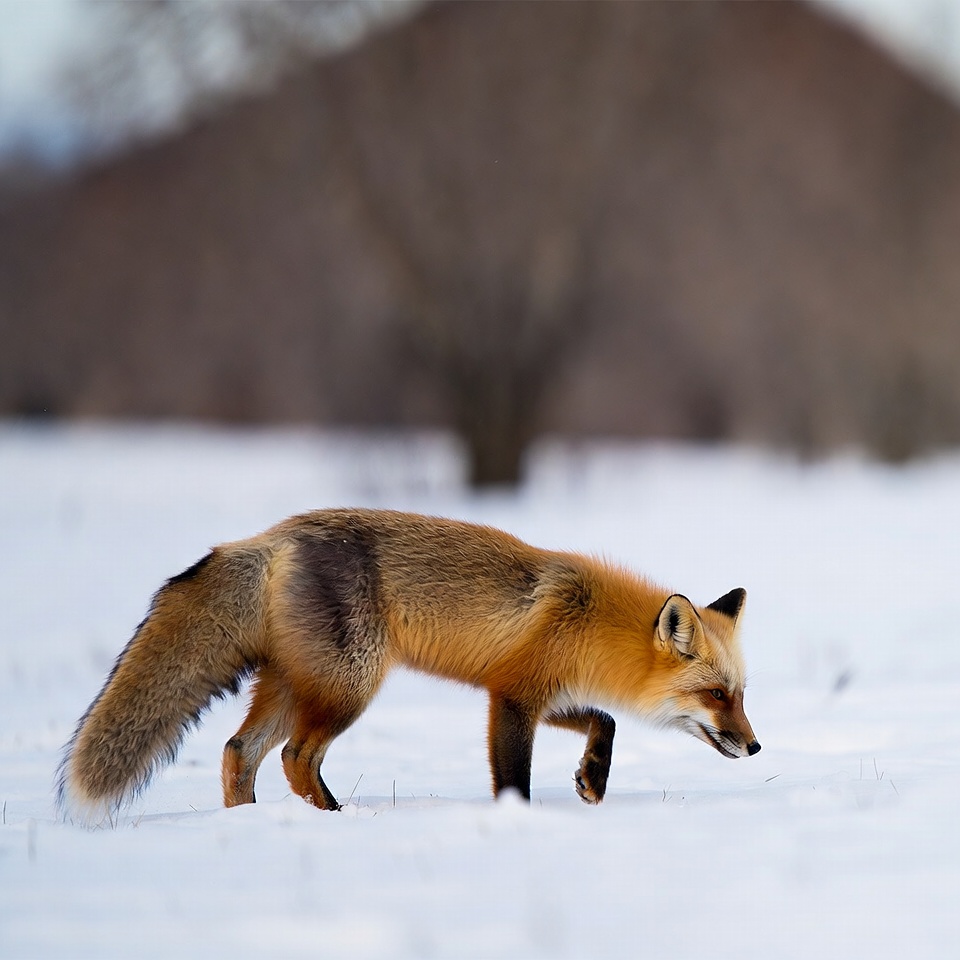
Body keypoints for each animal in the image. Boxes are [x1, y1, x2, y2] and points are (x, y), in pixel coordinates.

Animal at [57, 508, 759, 819]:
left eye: (741, 692)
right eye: (716, 694)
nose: (755, 747)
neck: (589, 620)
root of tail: (268, 538)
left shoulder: (542, 693)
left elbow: (604, 722)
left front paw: (593, 778)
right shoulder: (511, 697)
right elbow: (514, 779)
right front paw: (522, 826)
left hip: (297, 684)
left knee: (239, 752)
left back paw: (253, 825)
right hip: (349, 686)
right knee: (294, 757)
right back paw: (333, 821)